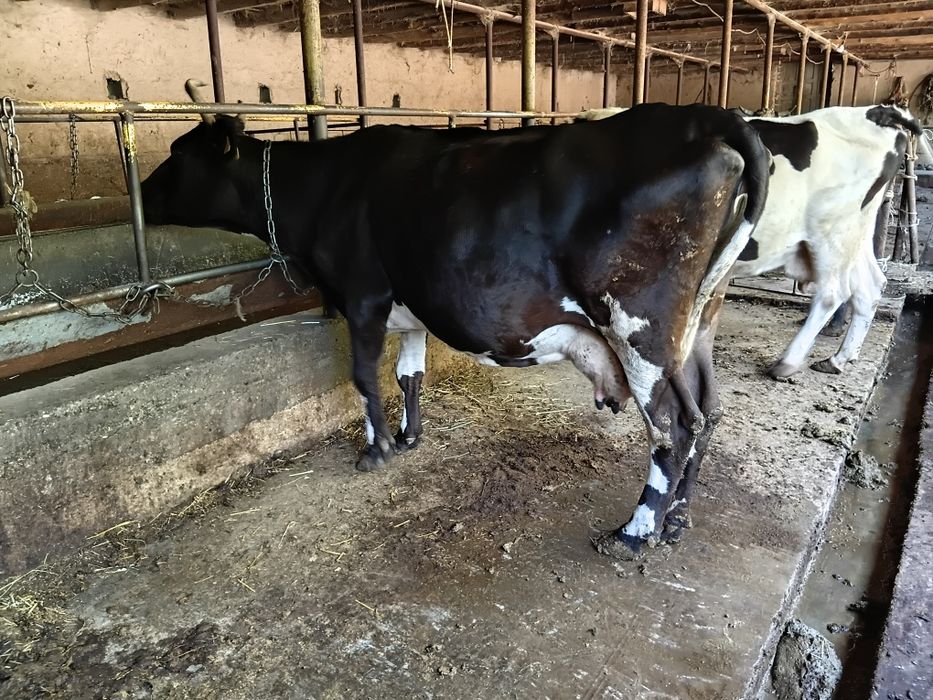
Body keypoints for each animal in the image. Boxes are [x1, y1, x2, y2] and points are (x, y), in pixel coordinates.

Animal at [141, 83, 769, 559]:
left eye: (178, 152)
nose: (141, 196)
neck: (325, 188)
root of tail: (705, 117)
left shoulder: (363, 294)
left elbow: (364, 377)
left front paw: (376, 450)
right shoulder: (411, 306)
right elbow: (409, 375)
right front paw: (407, 436)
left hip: (638, 325)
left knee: (672, 427)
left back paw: (635, 533)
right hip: (697, 324)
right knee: (708, 411)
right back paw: (678, 519)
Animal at [578, 104, 922, 378]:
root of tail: (878, 113)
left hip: (832, 232)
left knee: (832, 293)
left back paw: (787, 363)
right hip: (854, 235)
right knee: (869, 287)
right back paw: (839, 359)